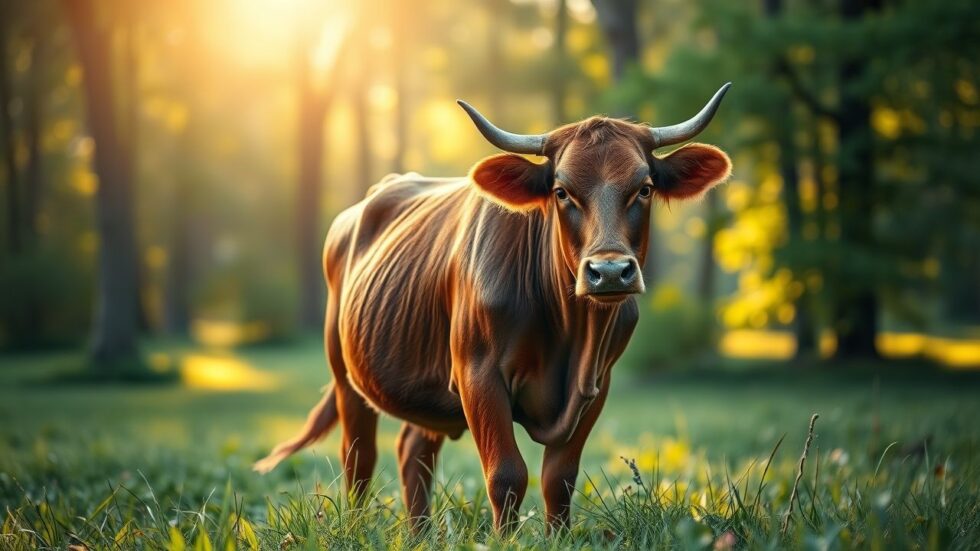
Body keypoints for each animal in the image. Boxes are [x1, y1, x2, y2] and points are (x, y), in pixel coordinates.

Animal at [255, 83, 733, 533]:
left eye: (645, 188)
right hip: (346, 375)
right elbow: (507, 475)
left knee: (413, 452)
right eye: (561, 192)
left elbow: (559, 477)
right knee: (359, 457)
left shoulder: (599, 382)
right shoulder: (477, 372)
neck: (571, 334)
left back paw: (420, 534)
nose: (611, 271)